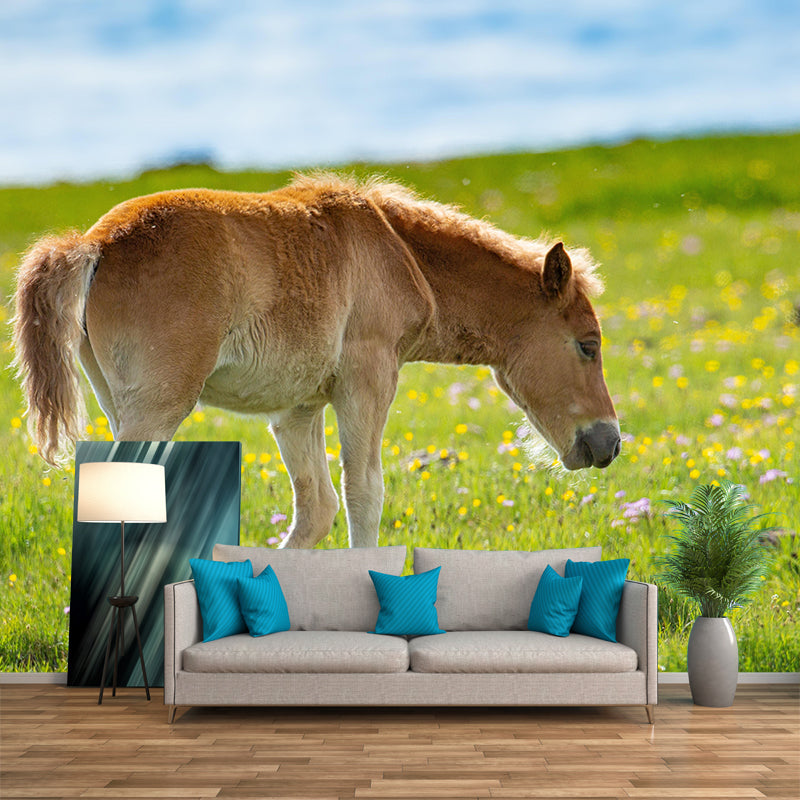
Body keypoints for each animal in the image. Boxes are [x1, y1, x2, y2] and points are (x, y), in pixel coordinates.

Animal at [12, 174, 620, 548]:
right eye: (587, 345)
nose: (610, 443)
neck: (397, 253)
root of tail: (92, 245)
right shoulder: (367, 382)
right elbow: (364, 494)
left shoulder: (297, 409)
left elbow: (317, 508)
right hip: (159, 409)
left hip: (119, 404)